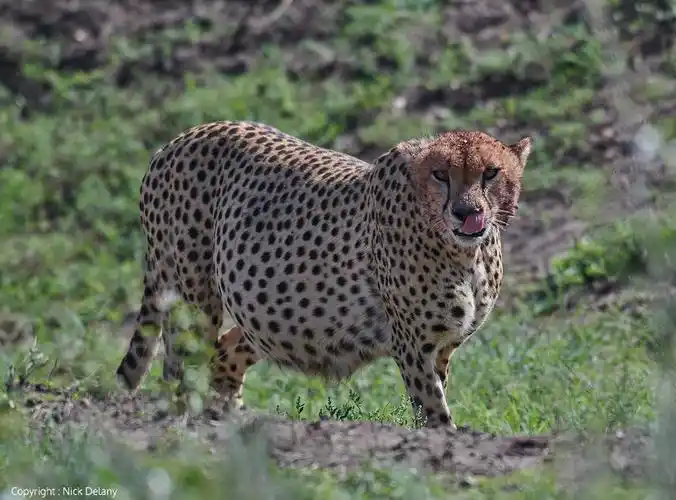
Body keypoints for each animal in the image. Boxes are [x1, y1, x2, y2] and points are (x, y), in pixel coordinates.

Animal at [115, 120, 532, 428]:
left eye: (490, 173)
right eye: (441, 175)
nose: (466, 212)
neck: (466, 253)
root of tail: (178, 139)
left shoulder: (442, 346)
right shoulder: (413, 346)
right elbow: (433, 409)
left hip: (271, 314)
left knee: (225, 348)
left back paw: (231, 417)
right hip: (194, 297)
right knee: (180, 363)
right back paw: (187, 419)